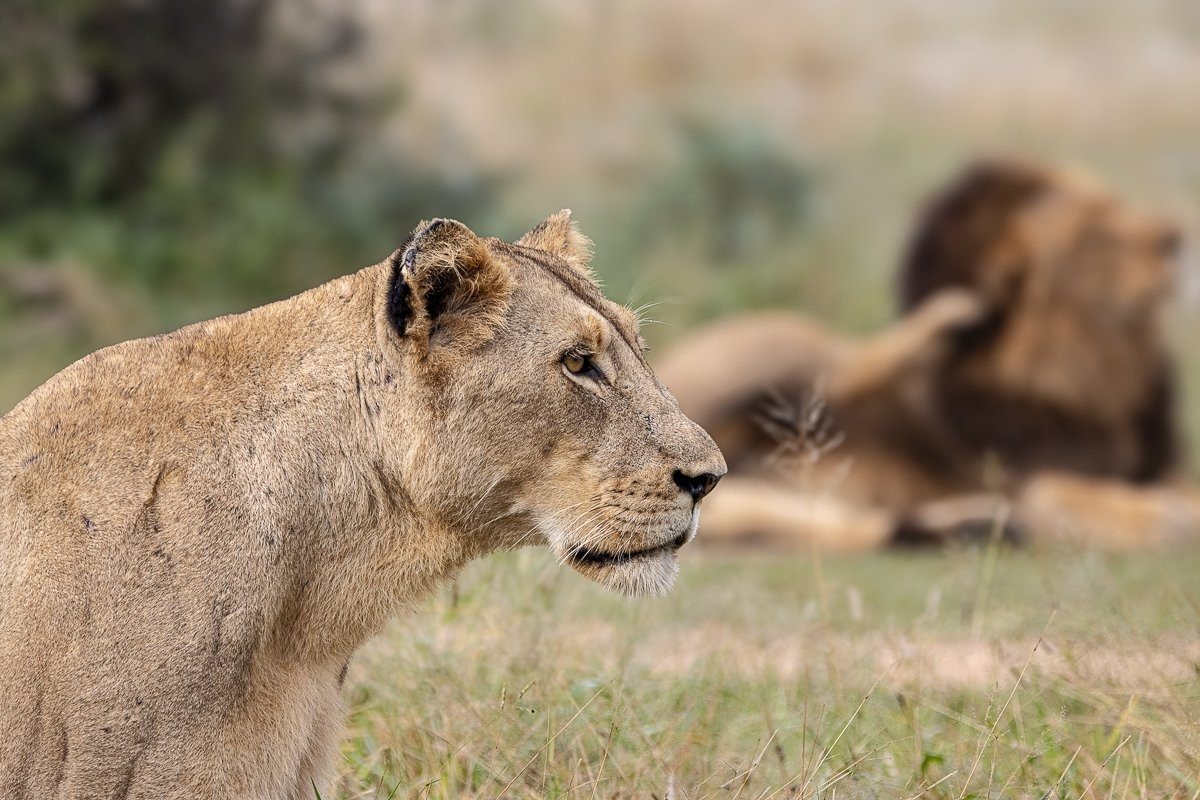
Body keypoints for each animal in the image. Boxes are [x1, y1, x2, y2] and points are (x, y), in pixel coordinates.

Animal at [656, 158, 1188, 550]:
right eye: (1092, 231)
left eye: (1115, 201)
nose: (1176, 238)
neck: (1098, 377)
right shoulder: (1022, 477)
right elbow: (1070, 492)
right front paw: (1169, 518)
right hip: (794, 344)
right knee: (860, 363)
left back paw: (979, 526)